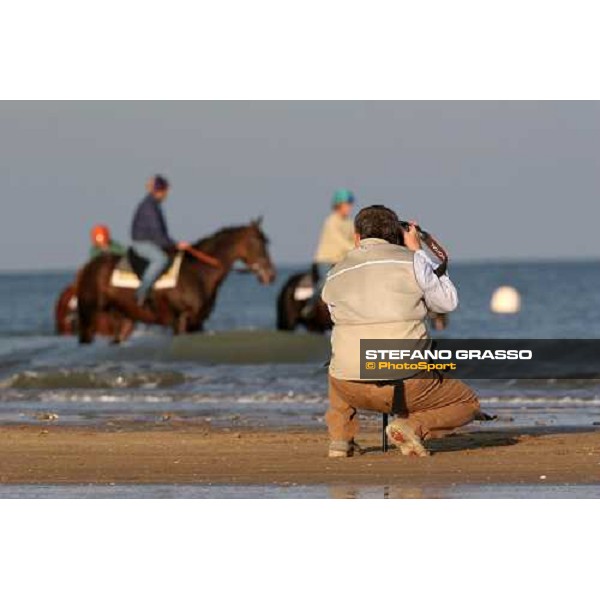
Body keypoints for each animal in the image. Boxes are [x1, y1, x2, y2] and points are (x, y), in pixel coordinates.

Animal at [75, 220, 278, 344]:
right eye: (257, 242)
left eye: (266, 242)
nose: (270, 275)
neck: (198, 273)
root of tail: (87, 267)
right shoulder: (181, 320)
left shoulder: (197, 323)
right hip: (90, 318)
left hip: (124, 319)